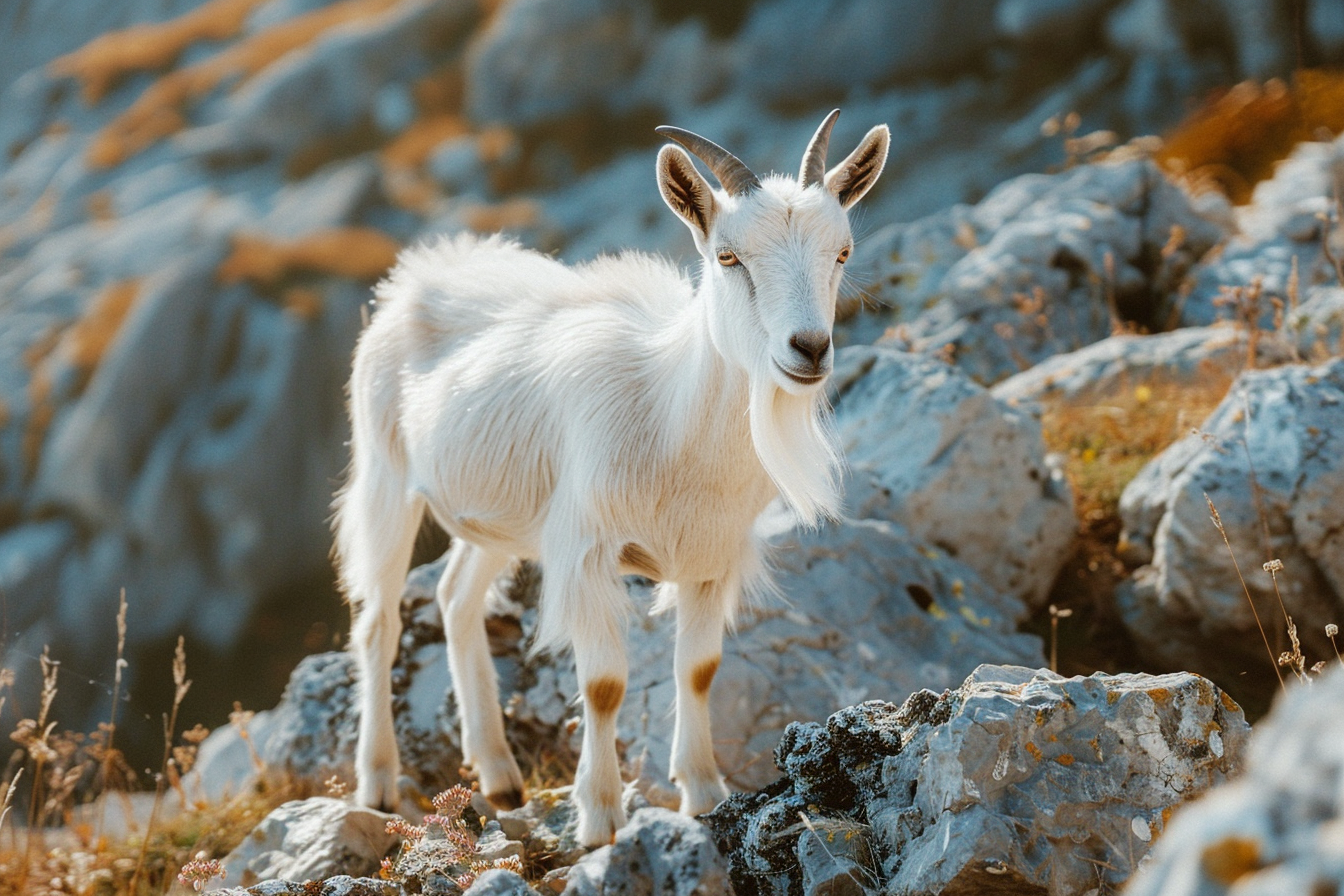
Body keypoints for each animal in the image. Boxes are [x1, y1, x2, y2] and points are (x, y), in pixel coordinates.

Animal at [333, 110, 889, 845]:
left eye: (843, 253)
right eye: (729, 257)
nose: (809, 349)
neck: (671, 417)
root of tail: (416, 275)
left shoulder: (710, 559)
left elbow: (699, 669)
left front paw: (704, 794)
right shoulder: (587, 551)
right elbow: (603, 686)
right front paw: (599, 819)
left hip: (505, 520)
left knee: (455, 599)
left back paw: (499, 776)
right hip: (385, 474)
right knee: (379, 623)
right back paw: (378, 783)